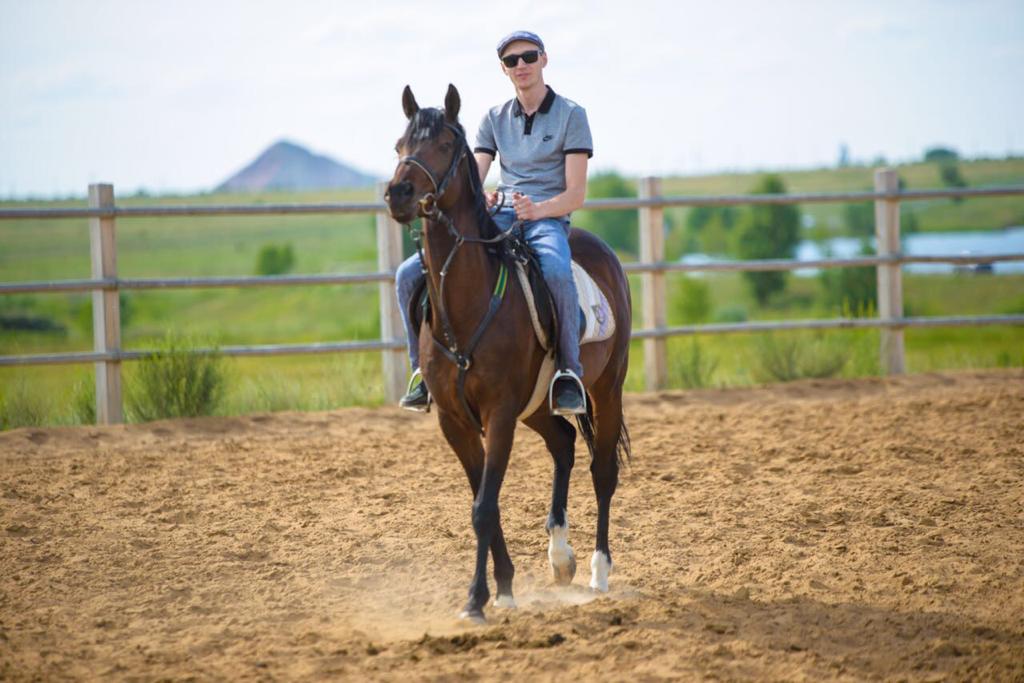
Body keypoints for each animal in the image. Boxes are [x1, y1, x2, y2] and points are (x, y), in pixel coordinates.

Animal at [382, 85, 626, 626]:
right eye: (400, 143)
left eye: (446, 144)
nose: (399, 194)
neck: (467, 304)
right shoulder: (455, 420)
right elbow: (483, 503)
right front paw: (506, 586)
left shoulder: (497, 414)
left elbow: (484, 508)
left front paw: (477, 599)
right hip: (534, 407)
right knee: (563, 445)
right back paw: (560, 557)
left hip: (606, 389)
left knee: (602, 470)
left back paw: (599, 572)